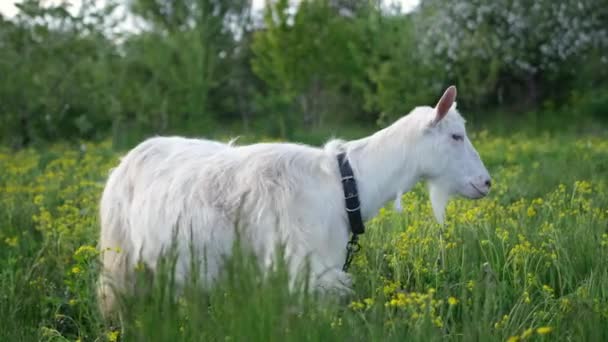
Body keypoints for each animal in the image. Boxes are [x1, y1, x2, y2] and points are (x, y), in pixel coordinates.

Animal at [97, 86, 492, 318]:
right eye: (456, 136)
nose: (486, 182)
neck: (343, 185)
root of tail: (129, 156)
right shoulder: (299, 270)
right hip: (119, 257)